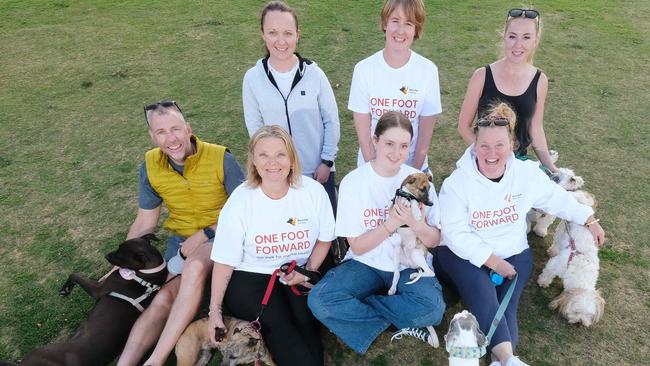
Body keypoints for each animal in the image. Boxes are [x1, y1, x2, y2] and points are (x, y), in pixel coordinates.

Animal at [11, 234, 166, 366]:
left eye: (120, 254)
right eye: (118, 247)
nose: (106, 255)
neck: (148, 275)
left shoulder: (98, 289)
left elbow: (74, 274)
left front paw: (65, 289)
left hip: (37, 353)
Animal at [536, 192, 604, 326]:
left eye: (589, 315)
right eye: (576, 312)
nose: (579, 322)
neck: (582, 271)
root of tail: (583, 202)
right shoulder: (556, 264)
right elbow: (548, 273)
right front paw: (543, 282)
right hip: (562, 228)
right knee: (557, 240)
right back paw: (553, 250)